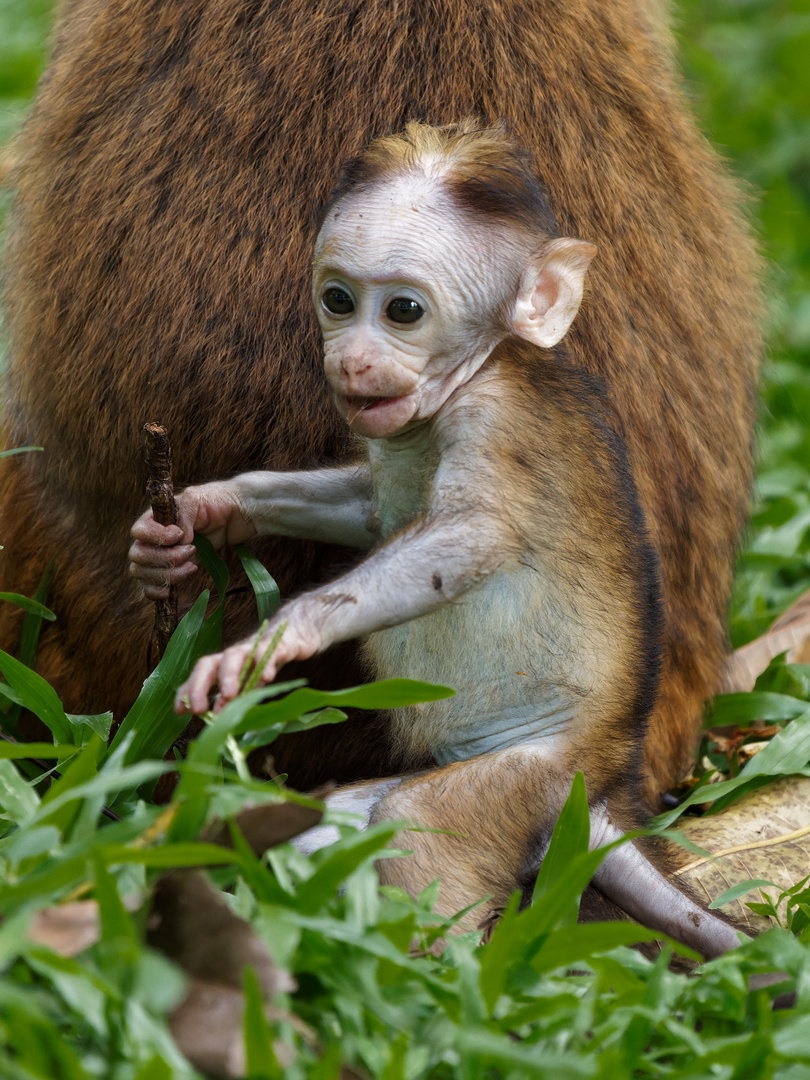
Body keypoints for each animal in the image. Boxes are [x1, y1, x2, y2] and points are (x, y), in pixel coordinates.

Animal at [131, 120, 743, 954]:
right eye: (338, 299)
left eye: (403, 312)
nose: (352, 357)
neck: (478, 371)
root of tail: (607, 791)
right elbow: (368, 508)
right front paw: (198, 515)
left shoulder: (498, 422)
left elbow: (468, 536)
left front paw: (279, 636)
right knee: (336, 818)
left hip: (534, 779)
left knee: (419, 820)